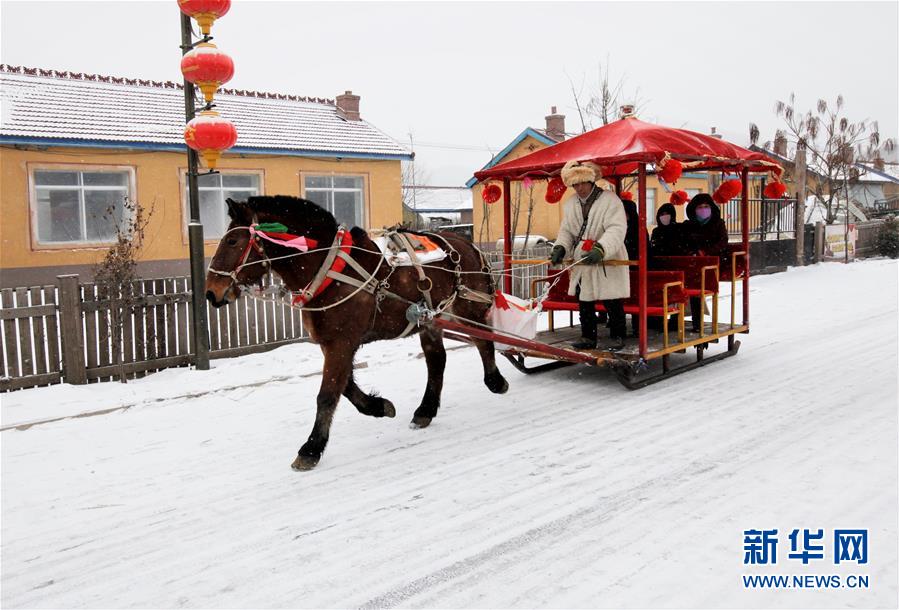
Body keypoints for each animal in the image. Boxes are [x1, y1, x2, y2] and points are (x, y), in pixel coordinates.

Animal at [207, 196, 510, 470]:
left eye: (232, 241)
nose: (211, 292)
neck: (329, 268)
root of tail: (466, 244)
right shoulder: (334, 343)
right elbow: (346, 386)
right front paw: (379, 406)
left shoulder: (341, 342)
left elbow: (327, 394)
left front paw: (311, 449)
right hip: (431, 319)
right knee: (437, 360)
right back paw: (425, 410)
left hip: (467, 308)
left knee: (483, 341)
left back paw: (495, 381)